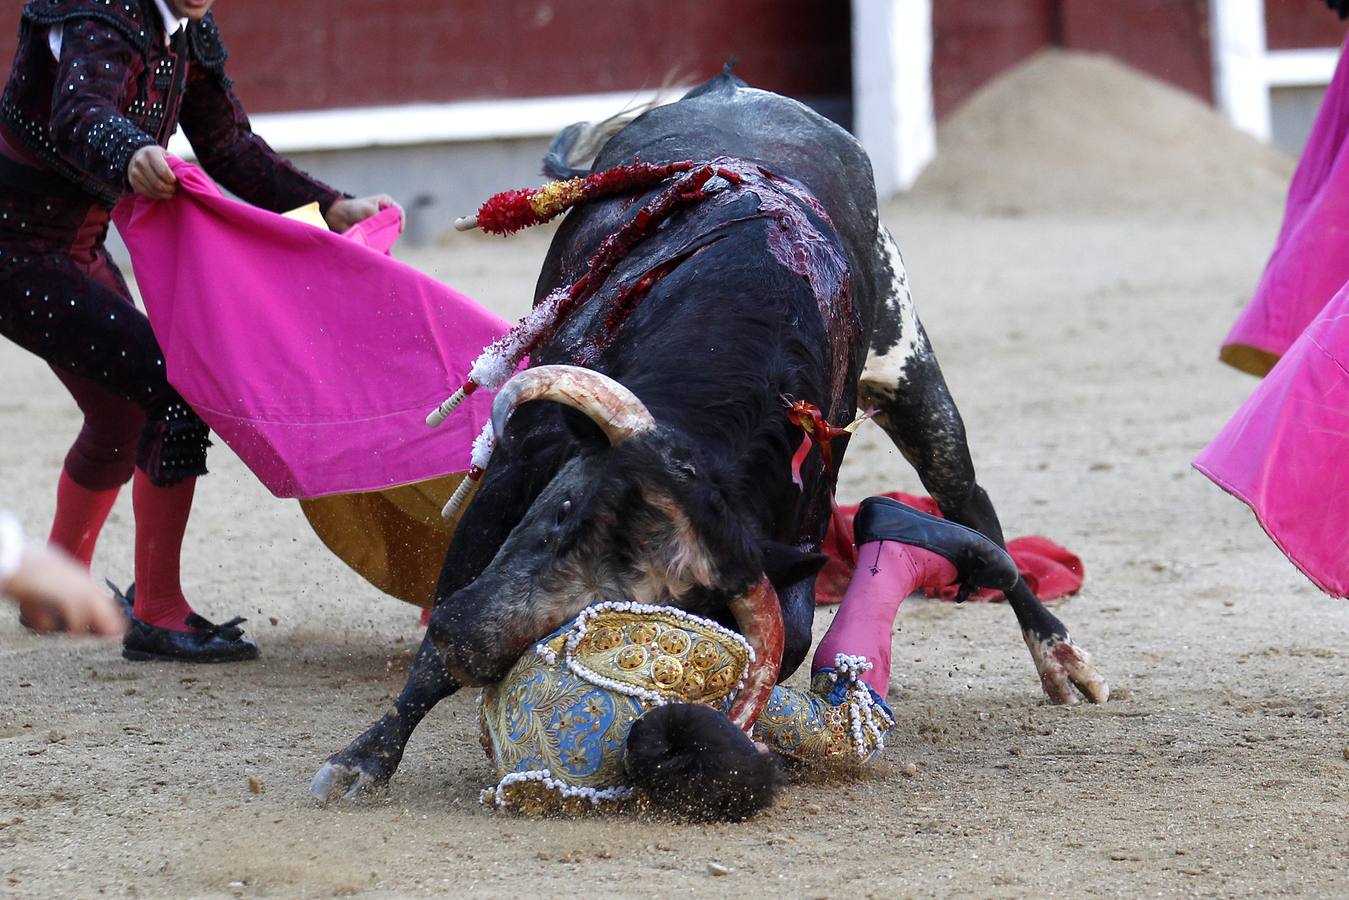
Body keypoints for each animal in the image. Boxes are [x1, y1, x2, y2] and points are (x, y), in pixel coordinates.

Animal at [312, 70, 1106, 804]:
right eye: (565, 513)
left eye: (651, 604)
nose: (474, 640)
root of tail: (732, 86)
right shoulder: (513, 479)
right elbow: (439, 631)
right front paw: (363, 760)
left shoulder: (788, 534)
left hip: (911, 375)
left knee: (967, 497)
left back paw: (1058, 653)